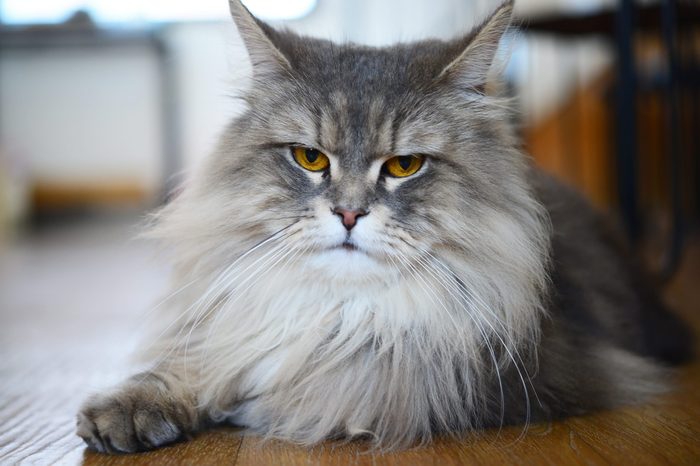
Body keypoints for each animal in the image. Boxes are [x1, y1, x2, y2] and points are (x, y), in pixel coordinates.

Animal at [75, 0, 688, 454]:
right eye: (310, 158)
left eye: (404, 166)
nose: (349, 213)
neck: (342, 312)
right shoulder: (235, 323)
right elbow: (201, 362)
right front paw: (133, 409)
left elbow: (314, 385)